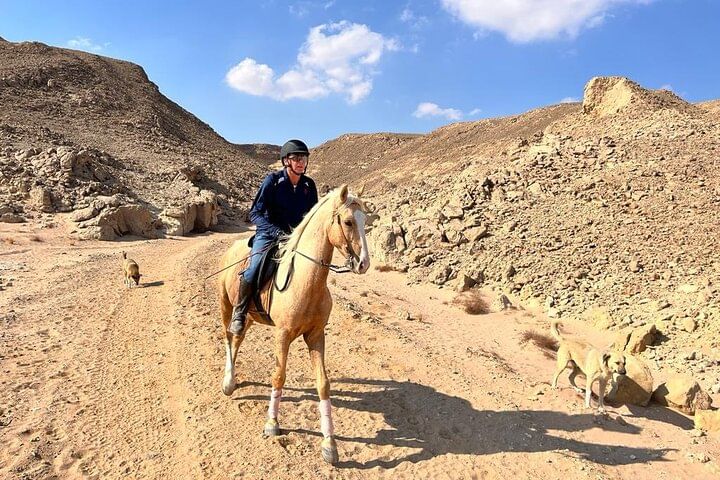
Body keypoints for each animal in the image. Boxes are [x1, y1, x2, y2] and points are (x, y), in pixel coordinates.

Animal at [217, 184, 371, 464]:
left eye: (366, 220)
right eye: (348, 221)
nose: (363, 263)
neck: (304, 281)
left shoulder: (316, 336)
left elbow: (323, 384)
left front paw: (329, 444)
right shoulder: (283, 335)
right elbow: (278, 376)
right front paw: (272, 423)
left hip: (250, 317)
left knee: (237, 338)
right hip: (226, 306)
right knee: (228, 338)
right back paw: (228, 381)